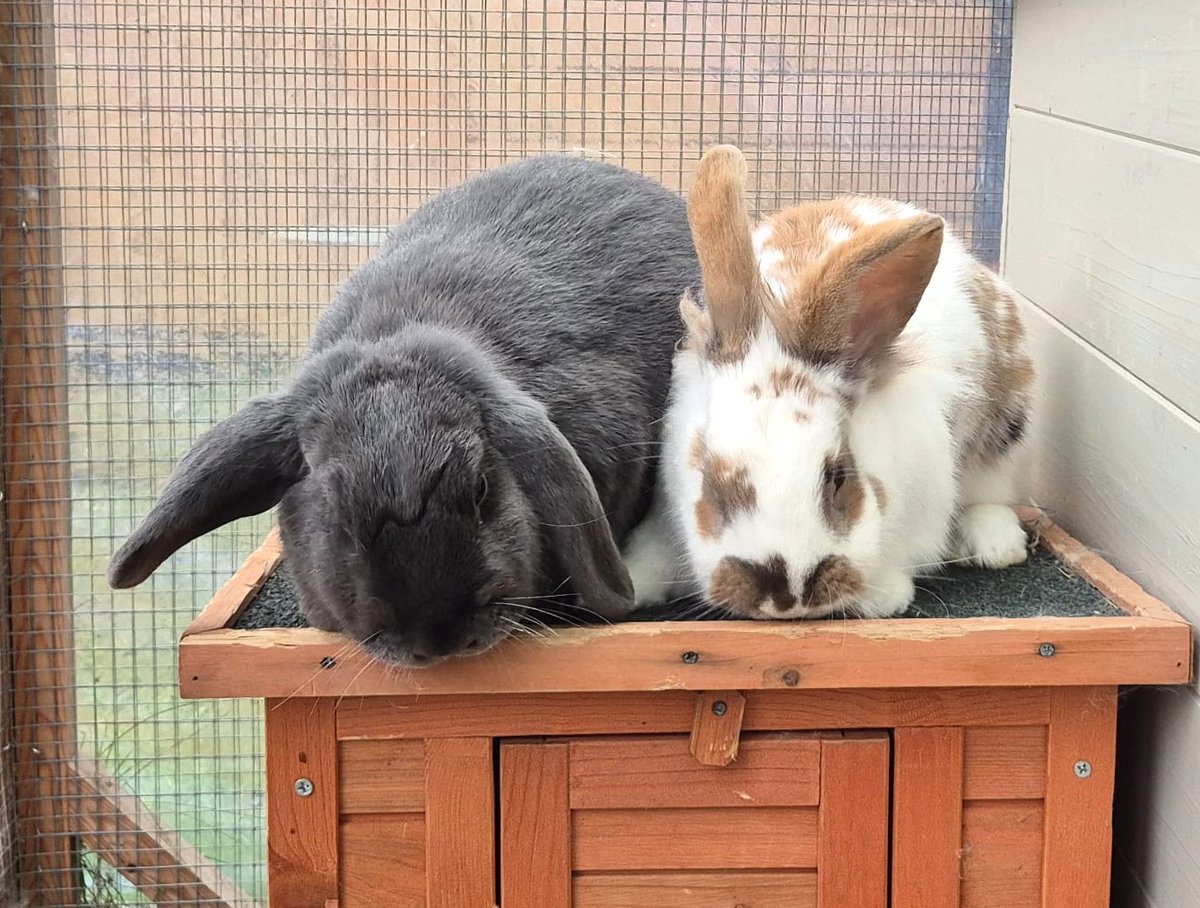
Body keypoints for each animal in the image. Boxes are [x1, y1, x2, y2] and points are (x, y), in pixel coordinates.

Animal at [623, 144, 1035, 619]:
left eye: (838, 477)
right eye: (712, 485)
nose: (787, 595)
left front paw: (882, 595)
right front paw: (633, 580)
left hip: (1006, 428)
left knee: (991, 490)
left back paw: (998, 545)